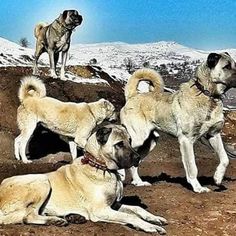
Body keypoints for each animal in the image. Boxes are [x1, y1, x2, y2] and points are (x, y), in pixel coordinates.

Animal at [0, 124, 168, 233]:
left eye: (130, 141)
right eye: (119, 144)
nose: (138, 158)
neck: (101, 167)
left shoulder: (113, 205)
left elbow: (137, 209)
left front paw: (155, 218)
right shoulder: (101, 210)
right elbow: (130, 216)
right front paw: (149, 226)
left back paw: (70, 217)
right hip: (42, 181)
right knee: (28, 216)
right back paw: (55, 220)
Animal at [121, 52, 236, 193]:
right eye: (227, 66)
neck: (207, 95)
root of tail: (132, 96)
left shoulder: (214, 135)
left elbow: (225, 158)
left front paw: (217, 178)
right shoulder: (186, 139)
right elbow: (192, 166)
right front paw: (198, 187)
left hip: (150, 142)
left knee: (134, 163)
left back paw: (139, 182)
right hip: (138, 138)